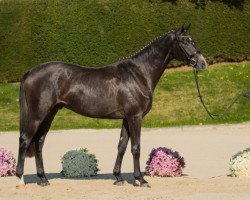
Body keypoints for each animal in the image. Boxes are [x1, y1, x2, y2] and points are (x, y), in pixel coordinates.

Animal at [15, 24, 207, 188]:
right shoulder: (135, 117)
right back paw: (20, 180)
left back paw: (43, 179)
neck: (139, 74)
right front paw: (140, 179)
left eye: (192, 40)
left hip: (50, 113)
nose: (202, 63)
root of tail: (30, 72)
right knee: (25, 140)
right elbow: (136, 148)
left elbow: (122, 146)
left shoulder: (126, 118)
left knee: (38, 142)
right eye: (184, 41)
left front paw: (119, 177)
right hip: (38, 114)